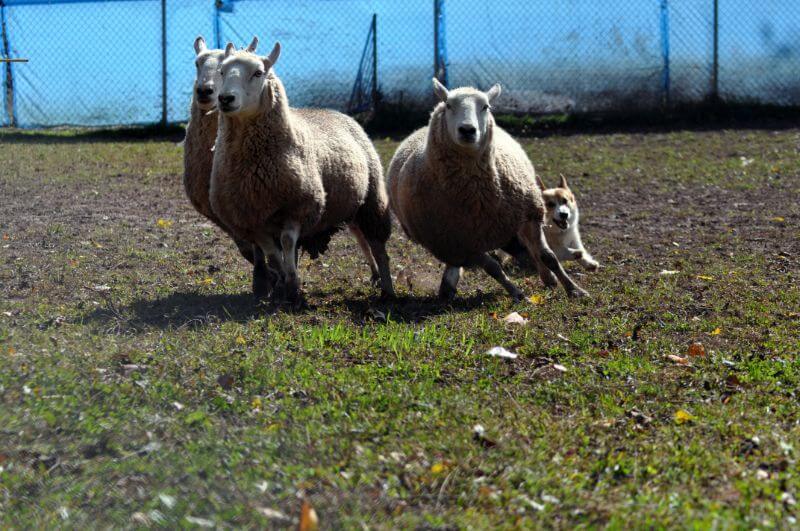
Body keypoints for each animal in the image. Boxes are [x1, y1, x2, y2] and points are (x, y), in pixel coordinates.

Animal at [209, 41, 394, 306]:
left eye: (258, 73)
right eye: (222, 71)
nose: (225, 98)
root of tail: (335, 111)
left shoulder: (300, 205)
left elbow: (287, 242)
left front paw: (294, 286)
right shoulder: (252, 219)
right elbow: (272, 254)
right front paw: (285, 284)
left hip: (372, 198)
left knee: (377, 245)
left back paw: (388, 289)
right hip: (351, 204)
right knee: (361, 237)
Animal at [387, 78, 588, 301]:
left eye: (486, 106)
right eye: (448, 105)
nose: (467, 130)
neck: (478, 196)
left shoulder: (530, 215)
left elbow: (548, 256)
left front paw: (574, 289)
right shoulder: (461, 242)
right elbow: (493, 268)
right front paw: (517, 293)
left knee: (530, 251)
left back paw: (548, 278)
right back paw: (448, 286)